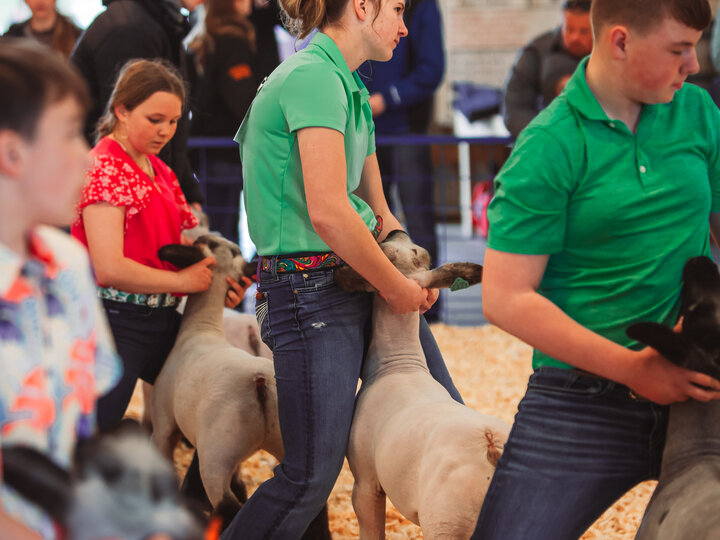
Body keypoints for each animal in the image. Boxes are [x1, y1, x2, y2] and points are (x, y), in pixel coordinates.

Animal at [334, 231, 510, 540]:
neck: (400, 362)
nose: (395, 231)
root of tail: (491, 446)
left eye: (385, 253)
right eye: (421, 253)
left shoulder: (365, 480)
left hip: (445, 521)